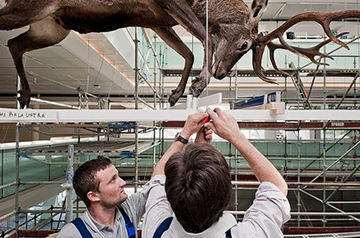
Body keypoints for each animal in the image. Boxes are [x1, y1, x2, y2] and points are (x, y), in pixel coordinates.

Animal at [0, 0, 360, 108]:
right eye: (245, 45)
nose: (222, 74)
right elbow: (204, 36)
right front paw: (198, 85)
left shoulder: (157, 19)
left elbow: (187, 50)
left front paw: (176, 93)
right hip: (29, 10)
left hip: (51, 27)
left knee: (14, 43)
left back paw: (26, 95)